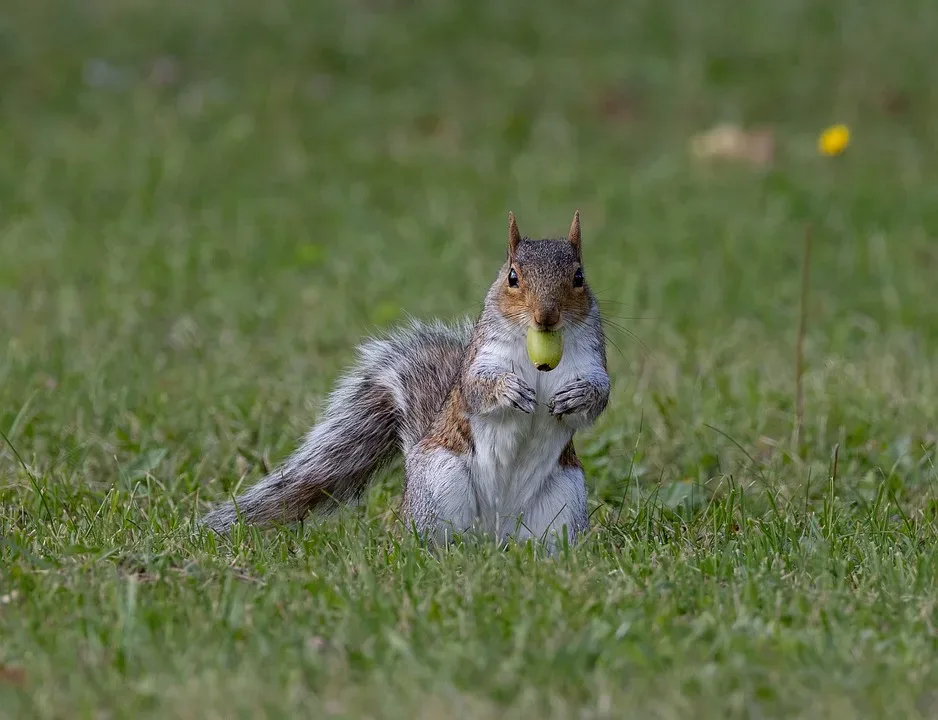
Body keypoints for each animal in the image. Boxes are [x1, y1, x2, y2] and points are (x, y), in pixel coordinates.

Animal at [201, 211, 612, 548]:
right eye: (512, 277)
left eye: (579, 277)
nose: (546, 317)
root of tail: (494, 534)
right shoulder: (479, 360)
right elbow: (476, 389)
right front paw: (508, 390)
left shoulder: (592, 359)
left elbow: (601, 395)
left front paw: (578, 397)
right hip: (441, 484)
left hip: (563, 502)